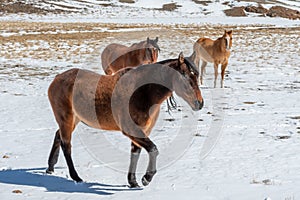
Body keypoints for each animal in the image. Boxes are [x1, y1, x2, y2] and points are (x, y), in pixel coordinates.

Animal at [45, 52, 204, 188]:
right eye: (184, 76)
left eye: (196, 76)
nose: (199, 103)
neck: (142, 92)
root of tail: (57, 78)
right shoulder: (131, 130)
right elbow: (153, 149)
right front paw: (146, 178)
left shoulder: (142, 131)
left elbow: (136, 153)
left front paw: (133, 182)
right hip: (66, 119)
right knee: (66, 146)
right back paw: (76, 177)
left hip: (73, 120)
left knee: (58, 136)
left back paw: (50, 167)